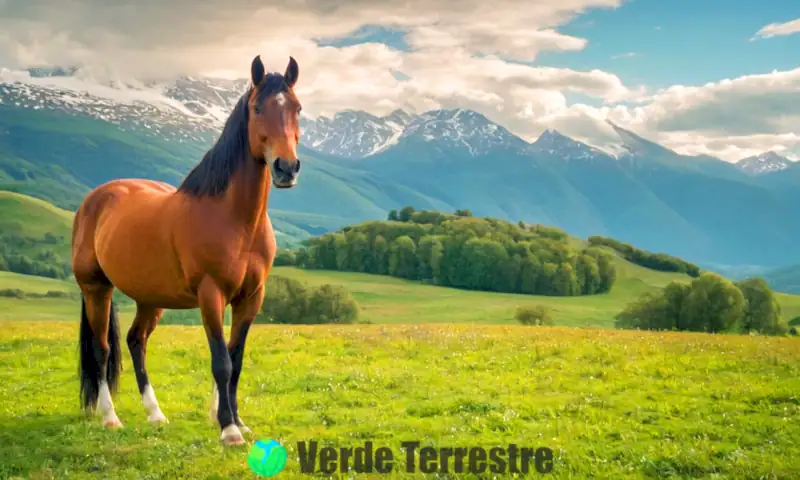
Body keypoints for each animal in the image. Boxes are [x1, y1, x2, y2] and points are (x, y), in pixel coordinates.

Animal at [70, 55, 304, 446]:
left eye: (297, 108)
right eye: (257, 108)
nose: (286, 167)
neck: (234, 219)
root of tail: (95, 199)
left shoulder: (250, 298)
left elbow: (236, 360)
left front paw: (237, 421)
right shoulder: (211, 294)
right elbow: (221, 361)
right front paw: (228, 430)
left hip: (151, 298)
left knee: (135, 341)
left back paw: (155, 414)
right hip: (96, 289)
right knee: (102, 350)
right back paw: (110, 418)